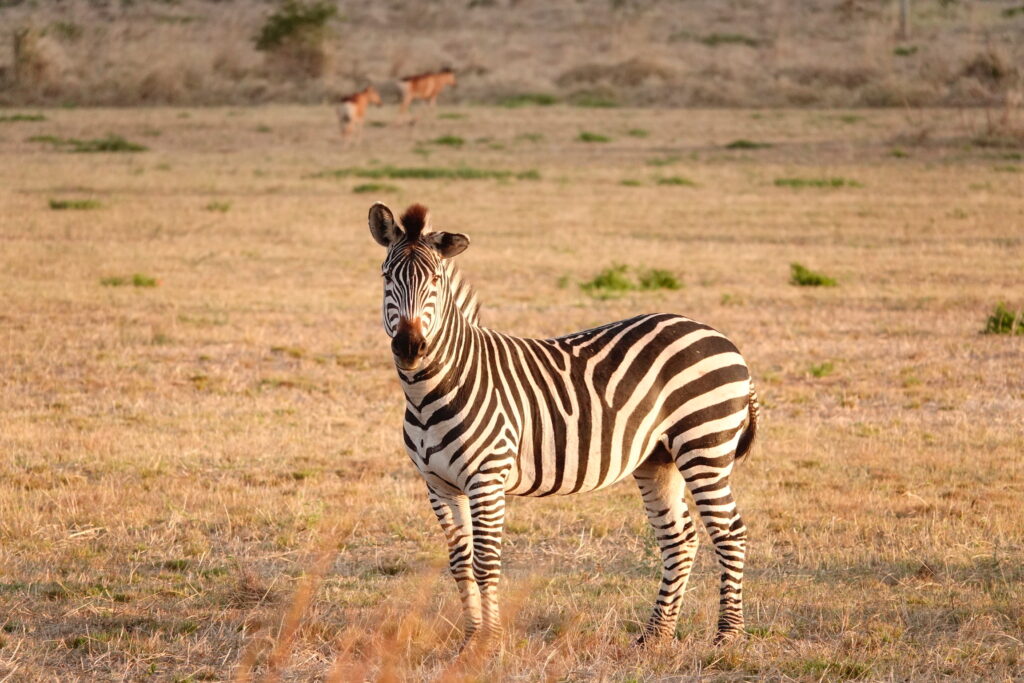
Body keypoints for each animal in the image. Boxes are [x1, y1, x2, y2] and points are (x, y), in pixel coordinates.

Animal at [368, 202, 760, 647]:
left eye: (435, 280)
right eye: (386, 277)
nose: (409, 347)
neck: (429, 393)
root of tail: (720, 337)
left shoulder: (487, 479)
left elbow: (486, 563)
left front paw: (489, 643)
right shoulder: (438, 486)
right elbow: (460, 563)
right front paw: (469, 640)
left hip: (704, 446)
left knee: (730, 533)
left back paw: (728, 635)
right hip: (659, 459)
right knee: (680, 539)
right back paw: (655, 636)